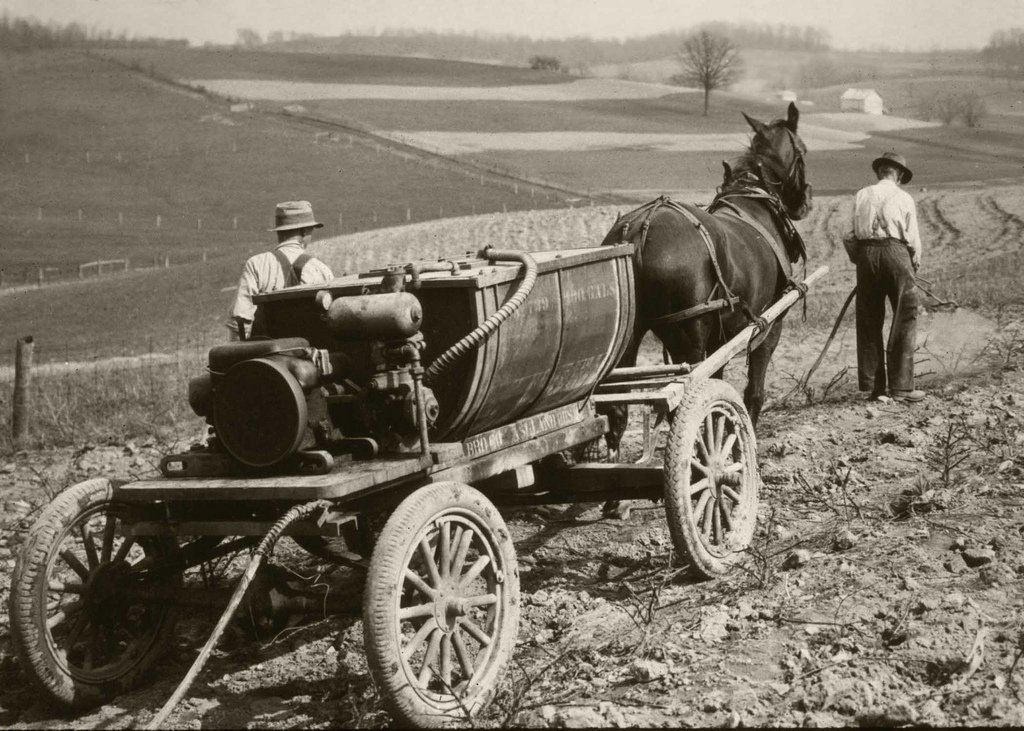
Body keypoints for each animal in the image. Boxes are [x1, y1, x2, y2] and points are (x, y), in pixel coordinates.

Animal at [602, 99, 811, 446]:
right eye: (803, 151)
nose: (805, 203)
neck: (755, 200)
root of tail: (639, 231)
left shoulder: (721, 340)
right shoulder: (769, 326)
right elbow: (753, 394)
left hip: (632, 336)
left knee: (616, 412)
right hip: (688, 338)